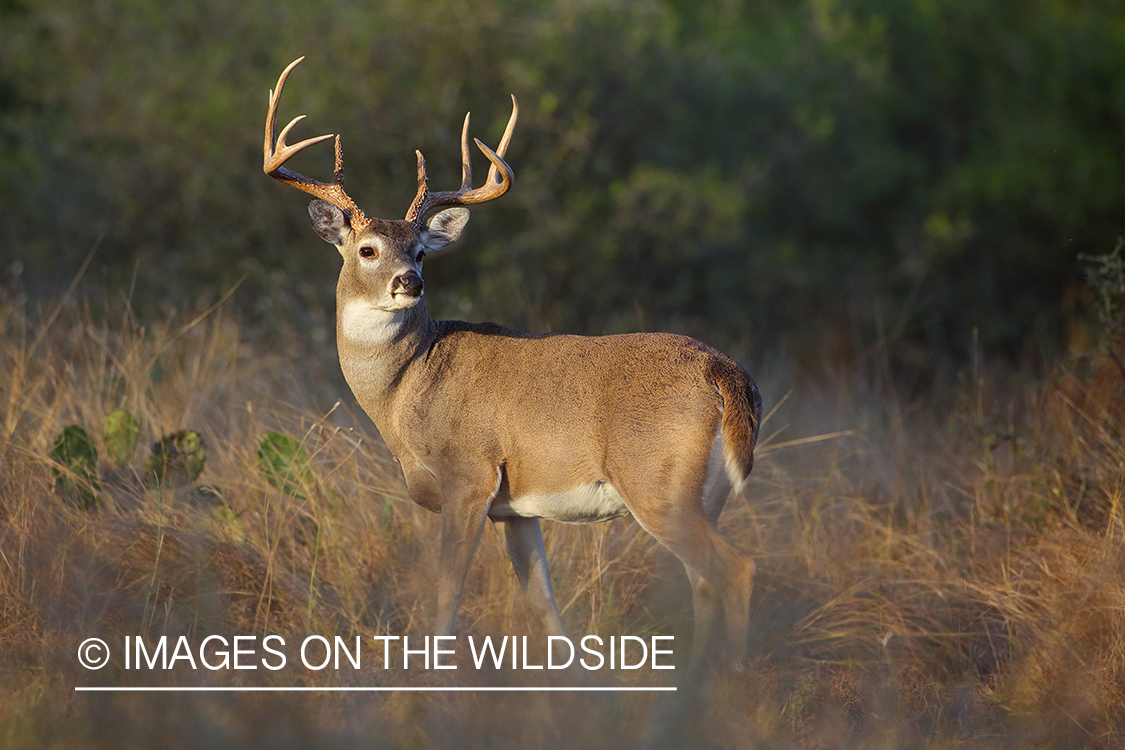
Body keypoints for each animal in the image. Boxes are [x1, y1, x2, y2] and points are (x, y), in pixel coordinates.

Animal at [263, 57, 765, 670]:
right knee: (703, 583)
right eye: (367, 249)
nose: (411, 282)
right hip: (703, 496)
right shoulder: (517, 510)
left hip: (657, 481)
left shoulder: (468, 475)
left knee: (735, 570)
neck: (405, 389)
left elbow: (447, 592)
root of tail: (725, 375)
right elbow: (543, 605)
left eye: (421, 251)